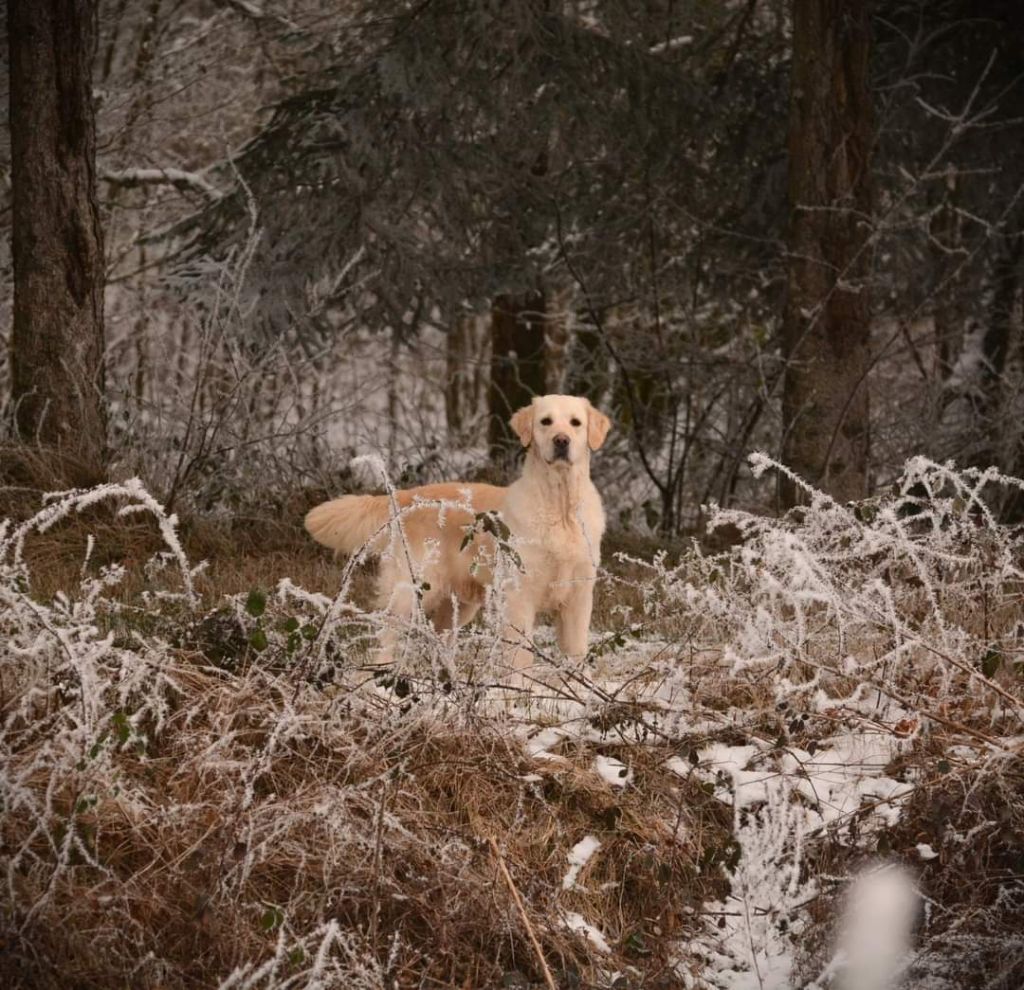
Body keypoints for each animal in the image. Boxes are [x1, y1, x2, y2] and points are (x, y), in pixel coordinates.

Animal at [301, 393, 606, 671]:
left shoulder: (579, 597)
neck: (560, 506)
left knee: (439, 639)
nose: (561, 440)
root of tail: (410, 497)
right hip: (411, 590)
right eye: (546, 422)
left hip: (459, 604)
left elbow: (576, 653)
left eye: (576, 423)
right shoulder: (519, 594)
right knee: (386, 635)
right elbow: (521, 657)